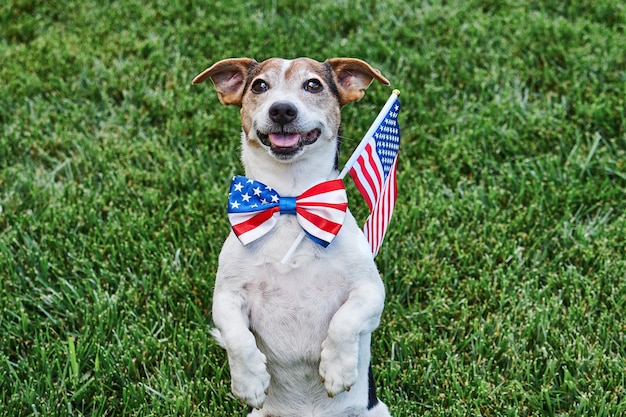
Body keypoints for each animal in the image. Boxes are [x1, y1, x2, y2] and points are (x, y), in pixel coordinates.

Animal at [193, 56, 390, 416]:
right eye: (259, 86)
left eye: (313, 85)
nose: (282, 110)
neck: (290, 203)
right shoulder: (227, 297)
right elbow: (236, 337)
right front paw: (250, 380)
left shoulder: (369, 291)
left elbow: (345, 321)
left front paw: (337, 369)